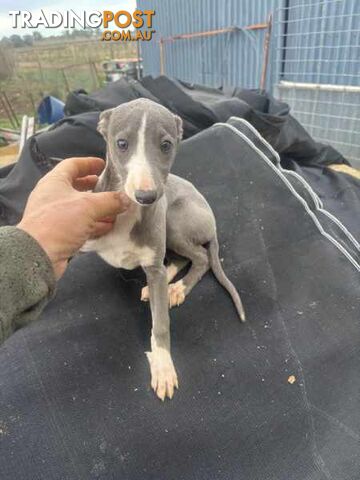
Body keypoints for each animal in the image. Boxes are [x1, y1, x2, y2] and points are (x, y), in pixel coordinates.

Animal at [81, 98, 245, 402]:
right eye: (121, 143)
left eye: (166, 145)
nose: (147, 197)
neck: (127, 212)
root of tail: (212, 221)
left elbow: (161, 323)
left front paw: (163, 366)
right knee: (177, 260)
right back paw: (159, 285)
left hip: (174, 218)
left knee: (200, 258)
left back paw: (176, 289)